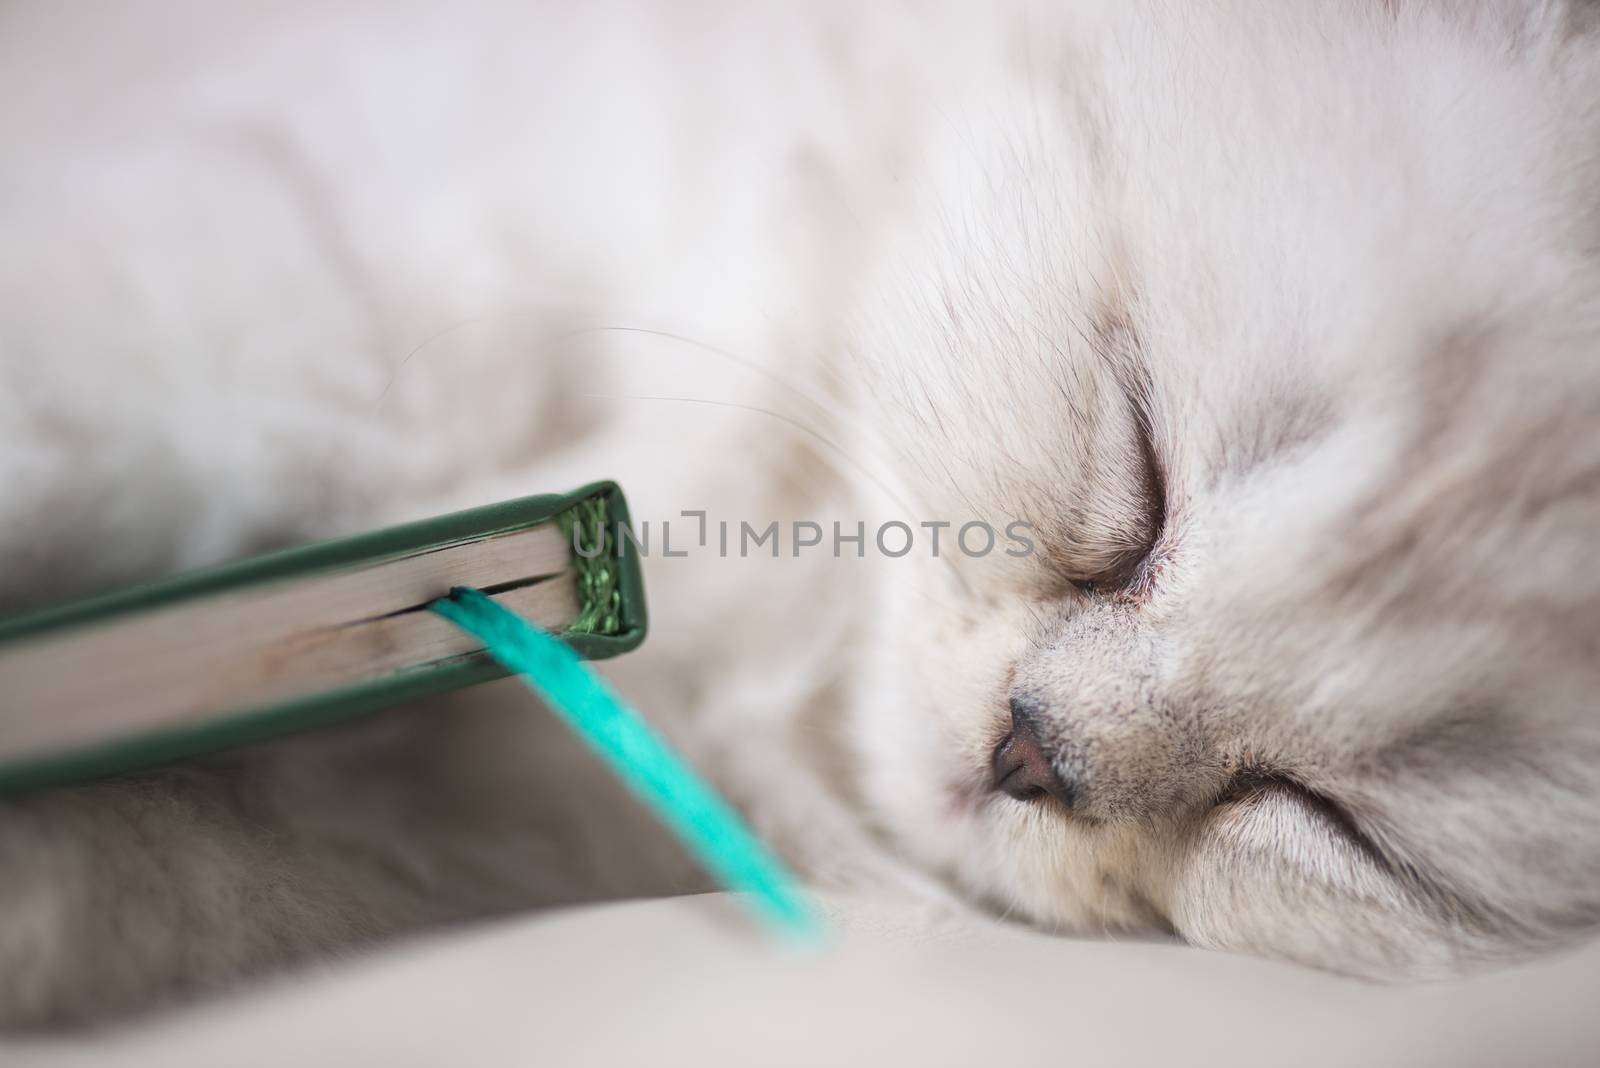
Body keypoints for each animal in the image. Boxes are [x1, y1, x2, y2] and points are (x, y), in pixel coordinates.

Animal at [3, 0, 1600, 1029]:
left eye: (1333, 820)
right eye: (1143, 485)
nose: (1032, 756)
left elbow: (189, 877)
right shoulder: (357, 223)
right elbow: (197, 371)